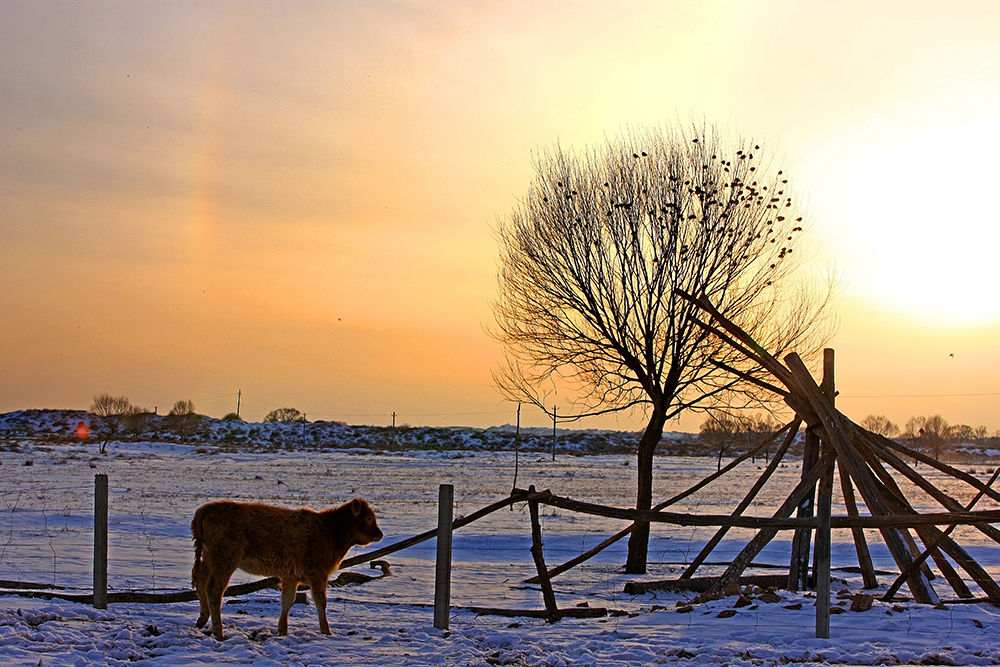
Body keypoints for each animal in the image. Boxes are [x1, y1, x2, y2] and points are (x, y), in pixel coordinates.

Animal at [191, 498, 383, 640]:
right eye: (368, 518)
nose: (380, 534)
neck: (329, 530)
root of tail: (209, 508)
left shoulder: (290, 577)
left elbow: (288, 600)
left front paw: (282, 630)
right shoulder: (318, 575)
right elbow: (321, 601)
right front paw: (326, 631)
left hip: (209, 558)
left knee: (200, 582)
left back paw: (202, 618)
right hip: (225, 561)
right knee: (214, 590)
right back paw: (219, 632)